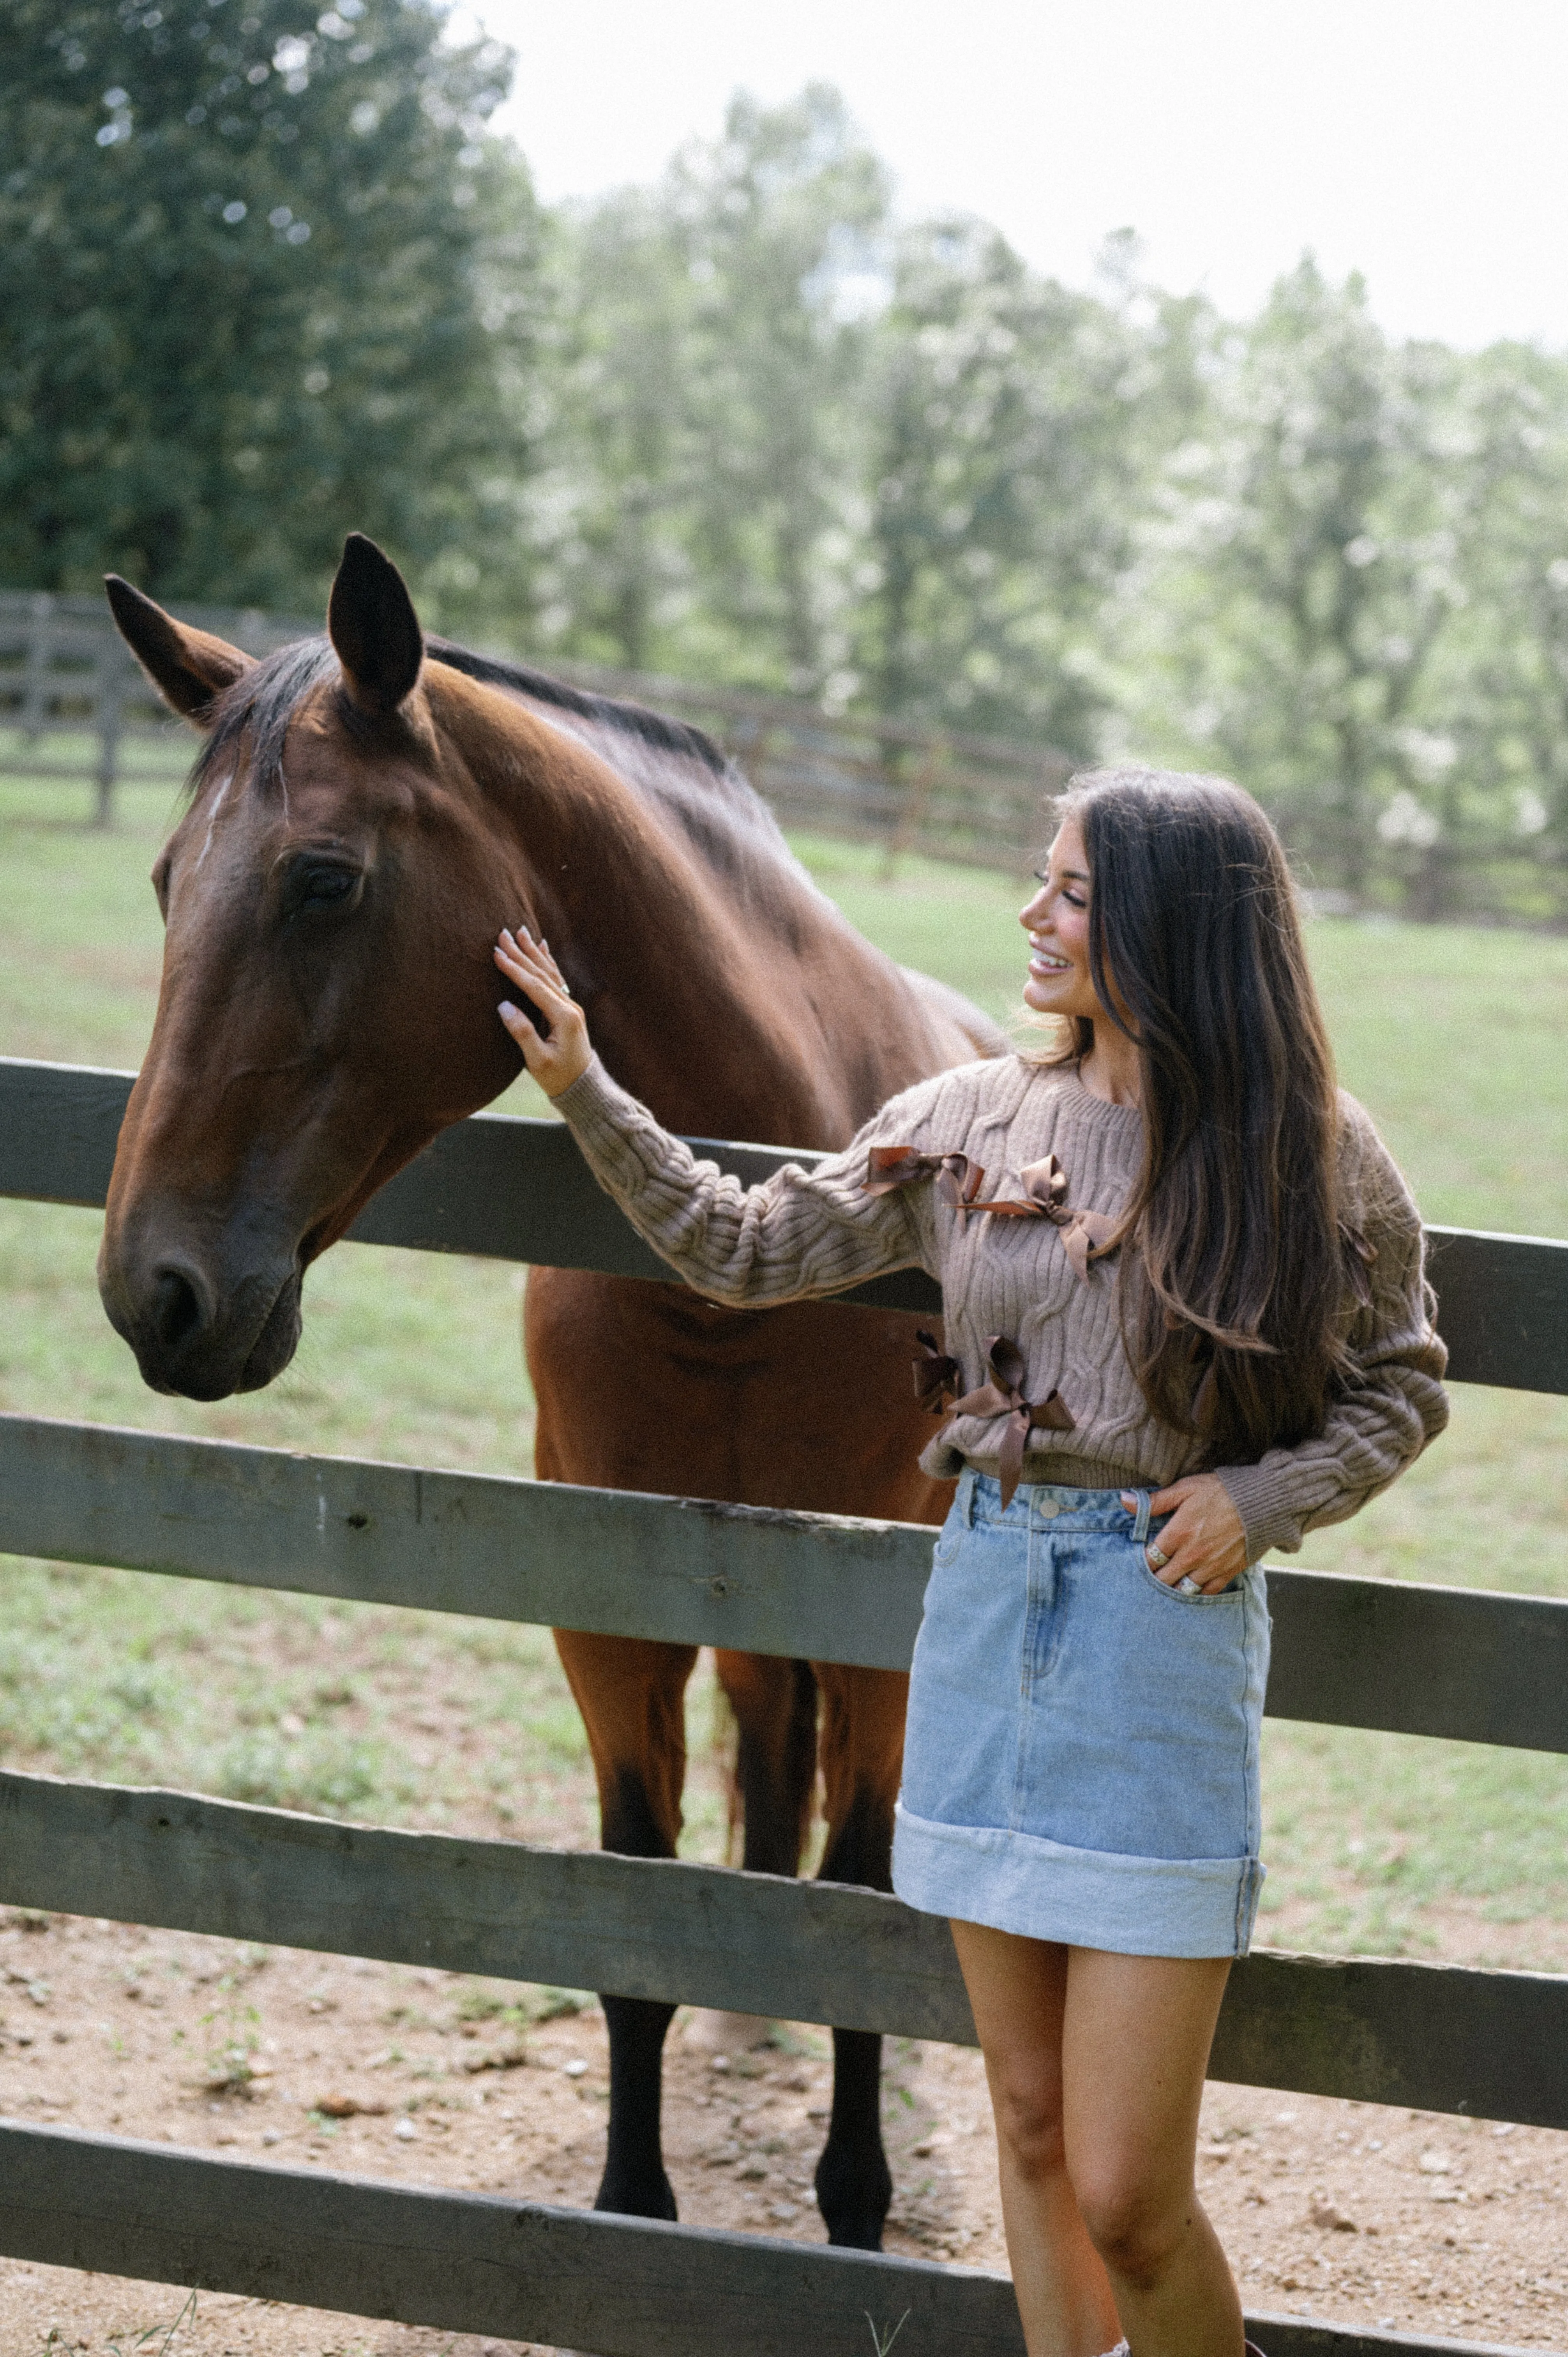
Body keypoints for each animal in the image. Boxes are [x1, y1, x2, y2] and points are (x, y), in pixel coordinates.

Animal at [101, 535, 1004, 2244]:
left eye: (324, 881)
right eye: (166, 882)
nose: (152, 1293)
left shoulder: (880, 1625)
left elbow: (860, 1901)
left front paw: (854, 2210)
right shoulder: (609, 1609)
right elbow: (631, 1905)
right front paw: (632, 2206)